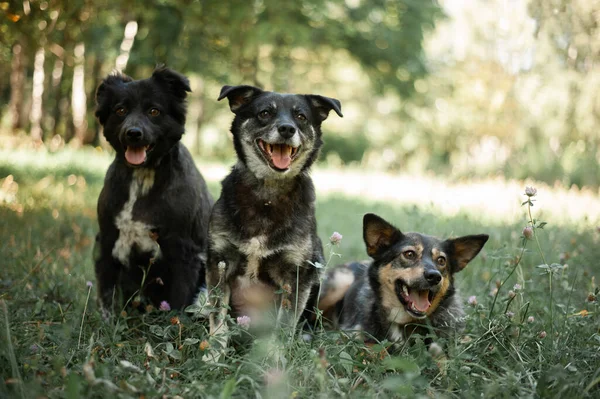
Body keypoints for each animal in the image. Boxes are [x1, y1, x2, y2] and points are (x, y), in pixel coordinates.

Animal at [92, 66, 214, 316]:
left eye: (154, 111)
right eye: (120, 110)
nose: (133, 133)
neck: (142, 178)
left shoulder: (183, 251)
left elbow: (178, 302)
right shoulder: (107, 240)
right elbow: (106, 293)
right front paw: (105, 320)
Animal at [205, 85, 342, 350]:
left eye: (301, 117)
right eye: (265, 113)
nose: (287, 129)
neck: (267, 195)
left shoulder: (296, 275)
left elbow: (282, 329)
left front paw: (274, 358)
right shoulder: (220, 263)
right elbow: (218, 321)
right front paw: (213, 355)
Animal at [318, 214, 488, 348]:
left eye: (441, 260)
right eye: (409, 254)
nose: (434, 276)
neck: (405, 323)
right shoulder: (352, 333)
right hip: (338, 283)